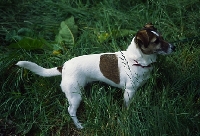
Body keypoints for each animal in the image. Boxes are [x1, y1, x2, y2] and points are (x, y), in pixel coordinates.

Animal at [16, 23, 174, 129]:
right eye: (156, 42)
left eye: (162, 37)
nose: (174, 47)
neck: (136, 60)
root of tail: (64, 67)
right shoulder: (129, 91)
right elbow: (127, 106)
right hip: (75, 95)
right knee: (71, 111)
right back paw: (79, 125)